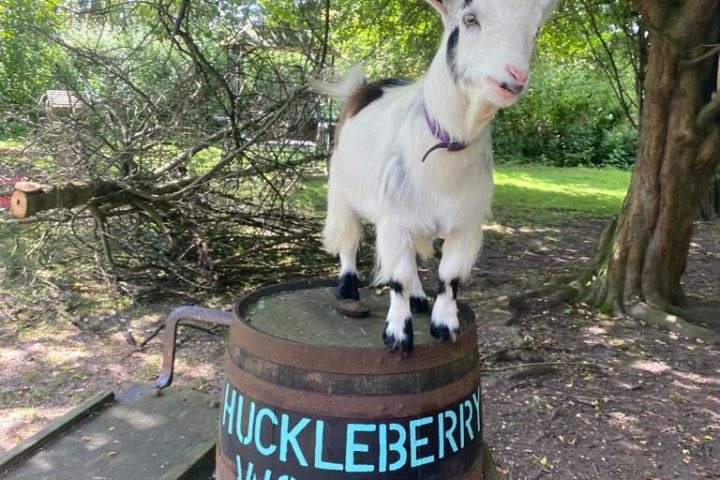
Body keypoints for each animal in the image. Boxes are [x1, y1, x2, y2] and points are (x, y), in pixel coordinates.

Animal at [313, 0, 562, 352]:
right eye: (470, 19)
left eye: (536, 28)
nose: (516, 75)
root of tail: (362, 89)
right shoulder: (395, 219)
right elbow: (398, 277)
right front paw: (398, 335)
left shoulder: (466, 224)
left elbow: (449, 276)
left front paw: (445, 325)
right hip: (341, 189)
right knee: (348, 239)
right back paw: (348, 289)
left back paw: (419, 298)